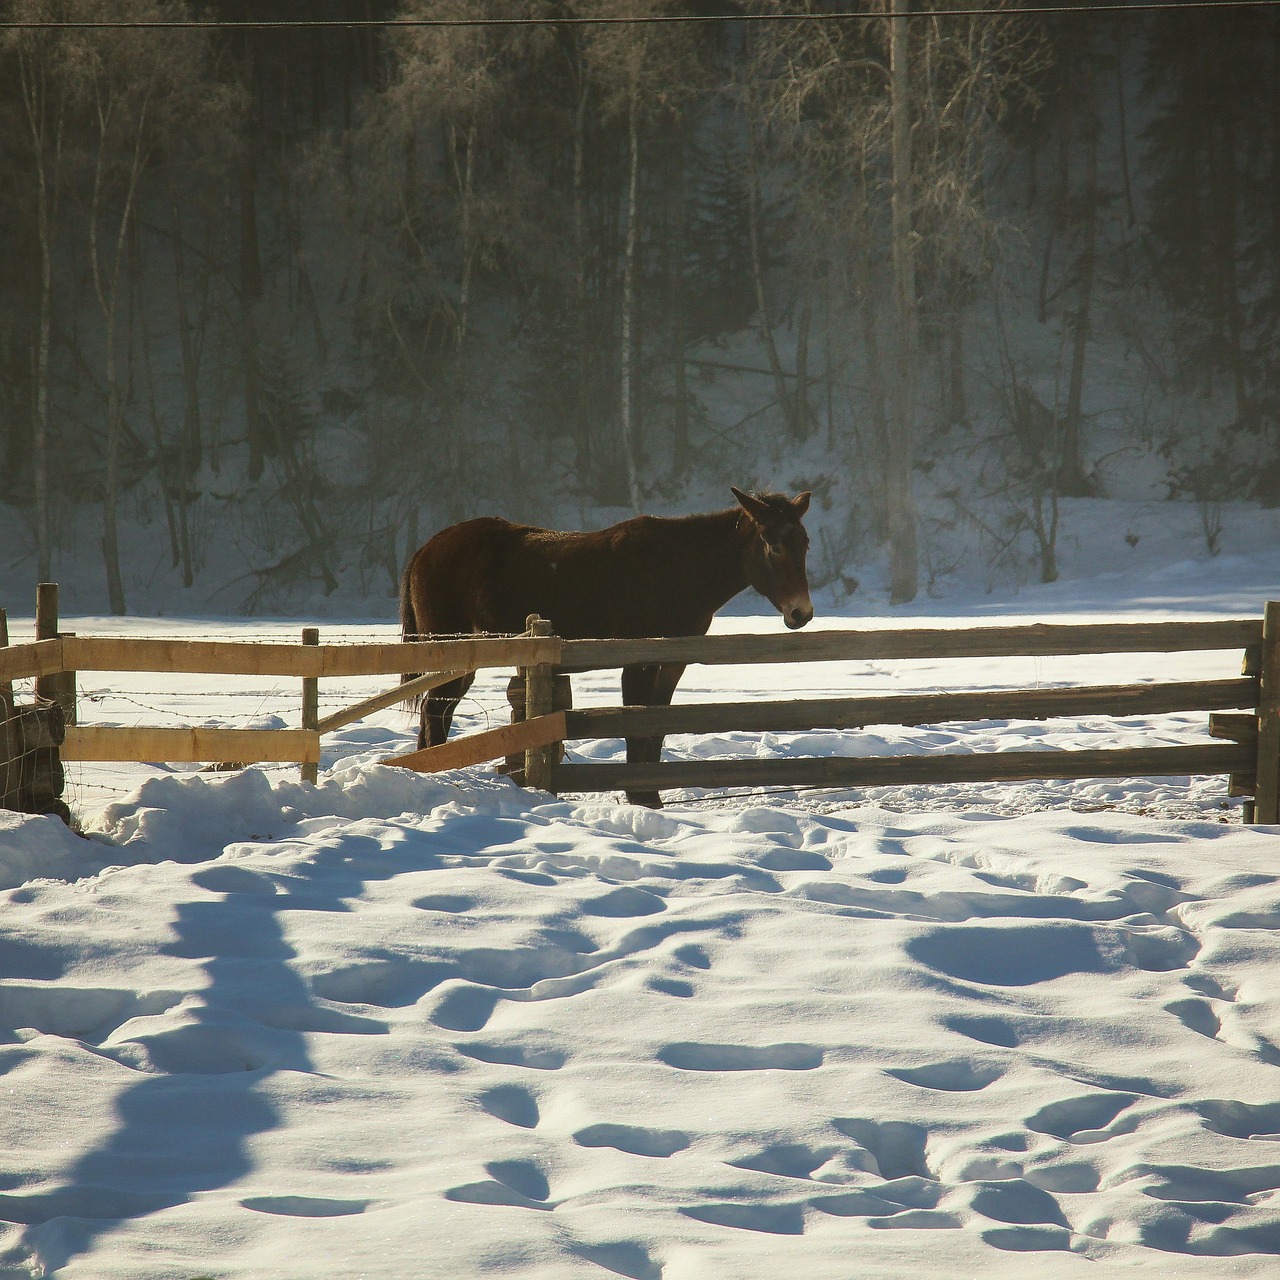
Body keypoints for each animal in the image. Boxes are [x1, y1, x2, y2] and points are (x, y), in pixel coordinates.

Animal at [399, 483, 814, 803]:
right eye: (772, 545)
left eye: (804, 544)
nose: (801, 613)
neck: (679, 571)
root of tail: (424, 550)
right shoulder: (639, 661)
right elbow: (636, 725)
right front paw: (641, 796)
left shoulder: (673, 663)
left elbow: (657, 726)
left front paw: (651, 796)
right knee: (435, 716)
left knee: (435, 717)